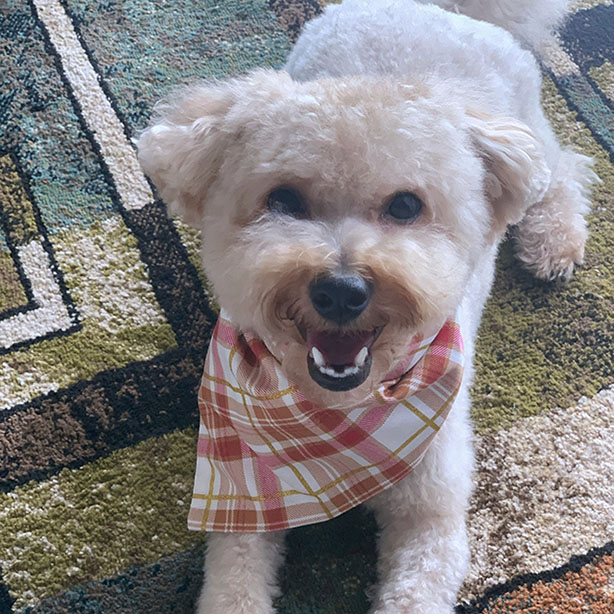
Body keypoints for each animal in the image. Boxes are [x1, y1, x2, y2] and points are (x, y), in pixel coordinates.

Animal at [136, 1, 597, 612]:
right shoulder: (243, 506)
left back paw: (554, 241)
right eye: (283, 200)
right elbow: (234, 584)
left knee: (563, 166)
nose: (340, 290)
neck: (339, 416)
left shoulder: (432, 515)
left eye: (406, 206)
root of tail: (438, 10)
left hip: (529, 131)